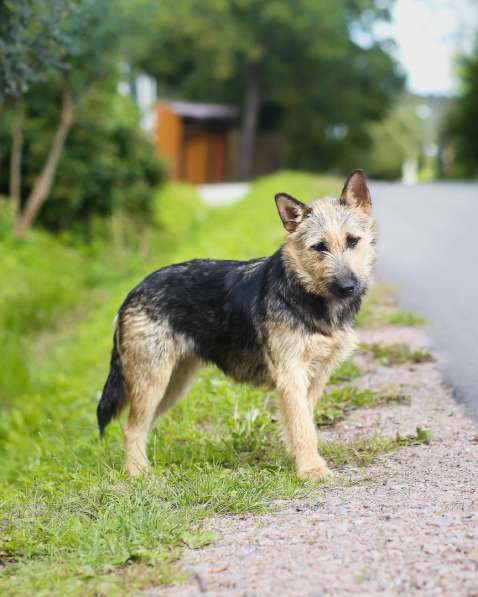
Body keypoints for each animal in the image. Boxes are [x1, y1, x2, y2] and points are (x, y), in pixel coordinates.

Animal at [97, 169, 376, 480]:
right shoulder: (291, 374)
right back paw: (138, 474)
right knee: (131, 427)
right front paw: (311, 470)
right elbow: (303, 427)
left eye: (352, 241)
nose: (348, 286)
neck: (305, 294)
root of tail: (133, 291)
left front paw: (298, 460)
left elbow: (300, 423)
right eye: (319, 247)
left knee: (140, 426)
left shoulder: (315, 376)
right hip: (152, 381)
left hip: (172, 385)